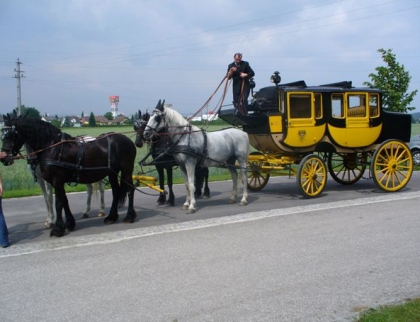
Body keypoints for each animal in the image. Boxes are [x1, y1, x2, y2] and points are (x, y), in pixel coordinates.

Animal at [0, 112, 137, 238]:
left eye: (11, 135)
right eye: (2, 134)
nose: (4, 158)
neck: (51, 147)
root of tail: (127, 140)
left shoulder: (56, 180)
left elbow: (58, 203)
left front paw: (57, 228)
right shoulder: (56, 181)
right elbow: (64, 201)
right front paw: (69, 224)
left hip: (126, 170)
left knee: (130, 189)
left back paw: (129, 216)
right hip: (112, 172)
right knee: (116, 191)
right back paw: (111, 217)